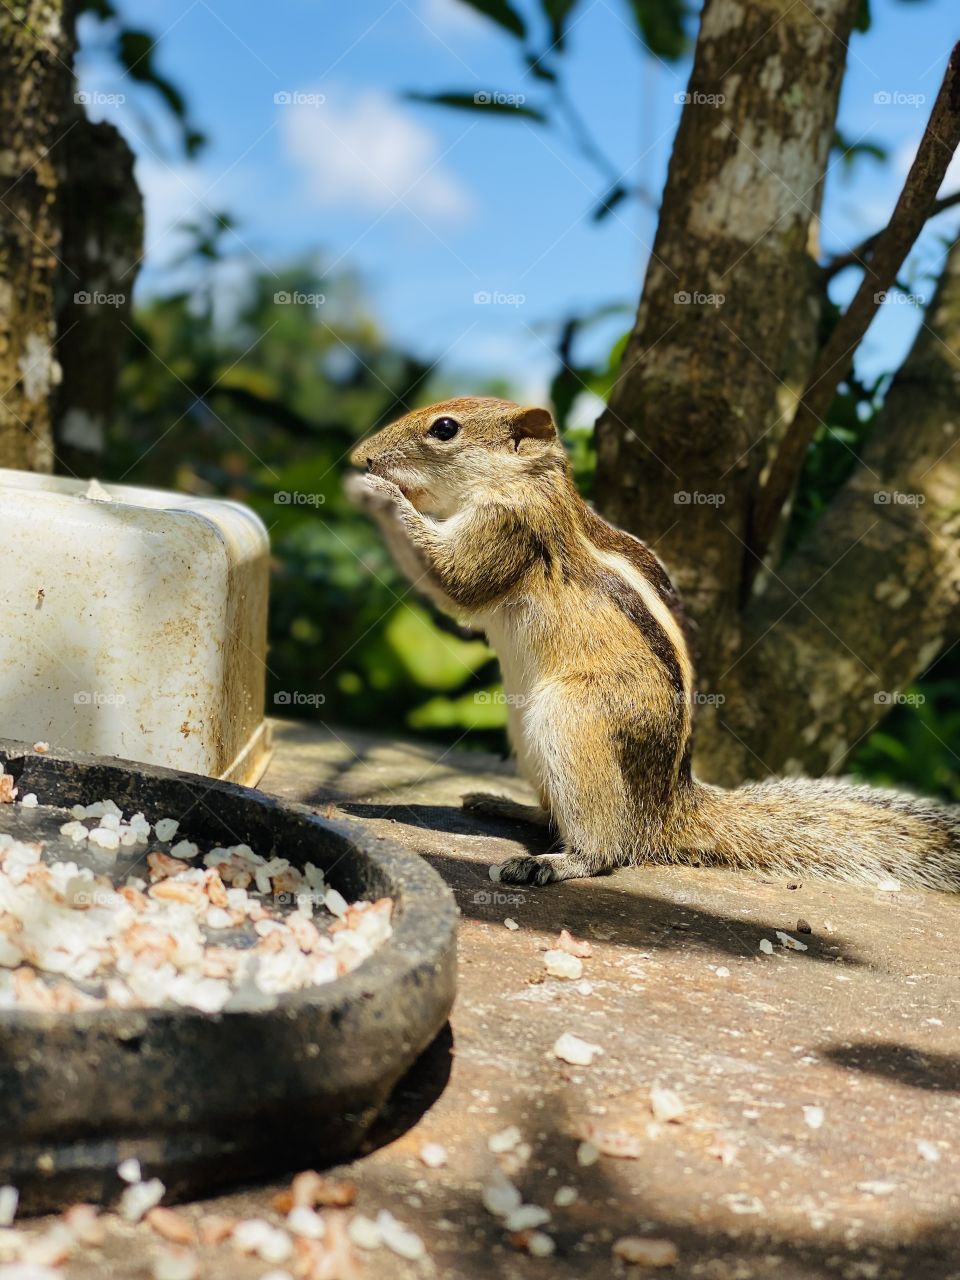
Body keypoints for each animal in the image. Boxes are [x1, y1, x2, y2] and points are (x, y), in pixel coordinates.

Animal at [346, 396, 960, 891]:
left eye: (445, 428)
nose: (361, 458)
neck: (526, 481)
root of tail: (667, 809)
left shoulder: (510, 529)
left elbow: (455, 580)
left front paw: (378, 494)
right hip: (527, 732)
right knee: (565, 818)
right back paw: (505, 805)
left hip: (572, 721)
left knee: (609, 848)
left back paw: (550, 862)